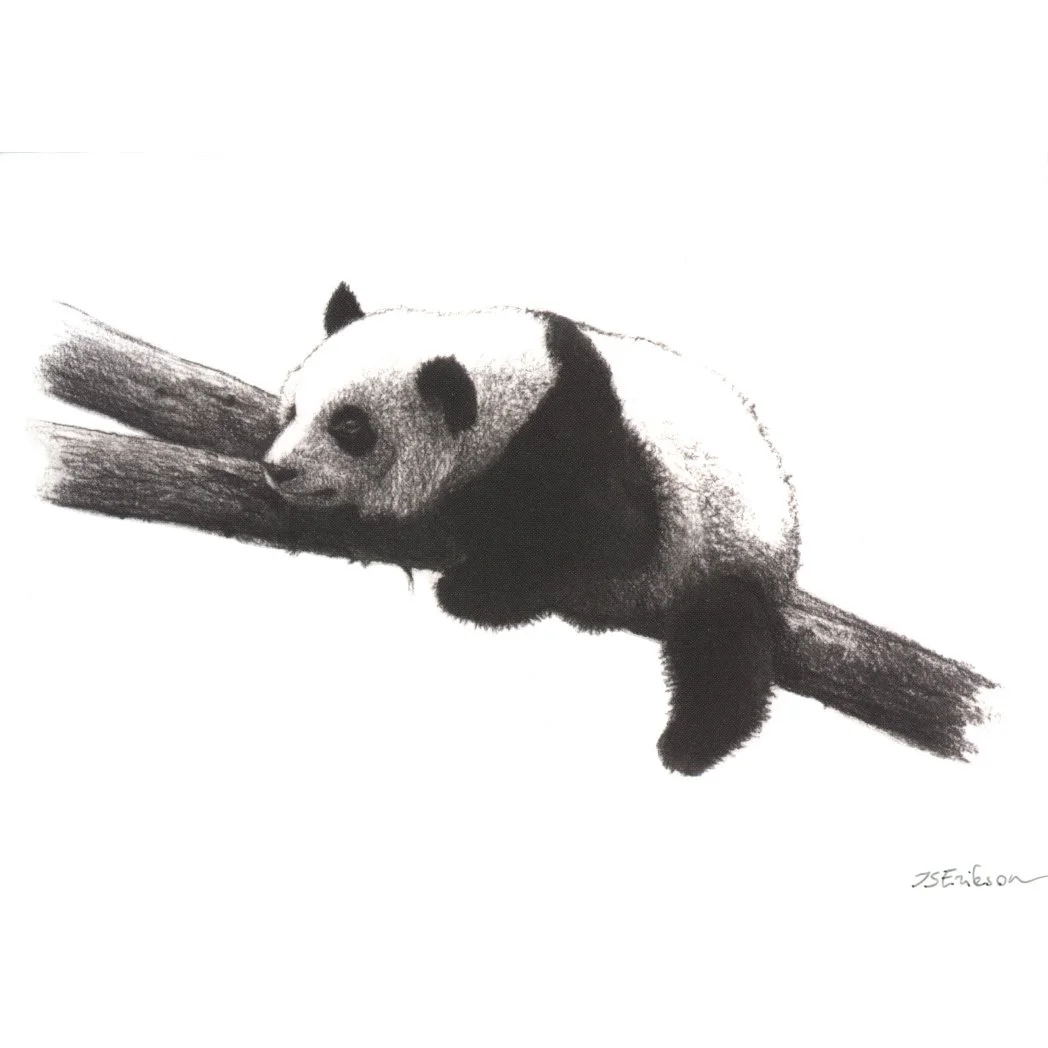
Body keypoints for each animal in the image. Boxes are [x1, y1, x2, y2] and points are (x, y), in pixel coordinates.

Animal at [264, 282, 800, 776]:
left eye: (350, 428)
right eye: (293, 410)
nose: (278, 469)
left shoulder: (577, 433)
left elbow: (612, 534)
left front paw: (472, 580)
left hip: (724, 546)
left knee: (723, 640)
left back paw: (687, 746)